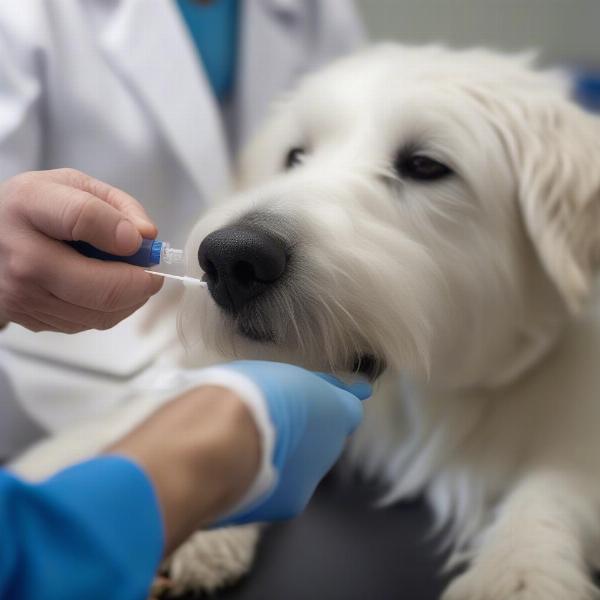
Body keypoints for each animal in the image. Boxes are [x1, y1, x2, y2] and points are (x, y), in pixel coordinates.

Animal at [10, 47, 600, 600]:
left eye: (426, 166)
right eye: (295, 156)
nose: (231, 259)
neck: (413, 396)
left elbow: (552, 491)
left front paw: (521, 572)